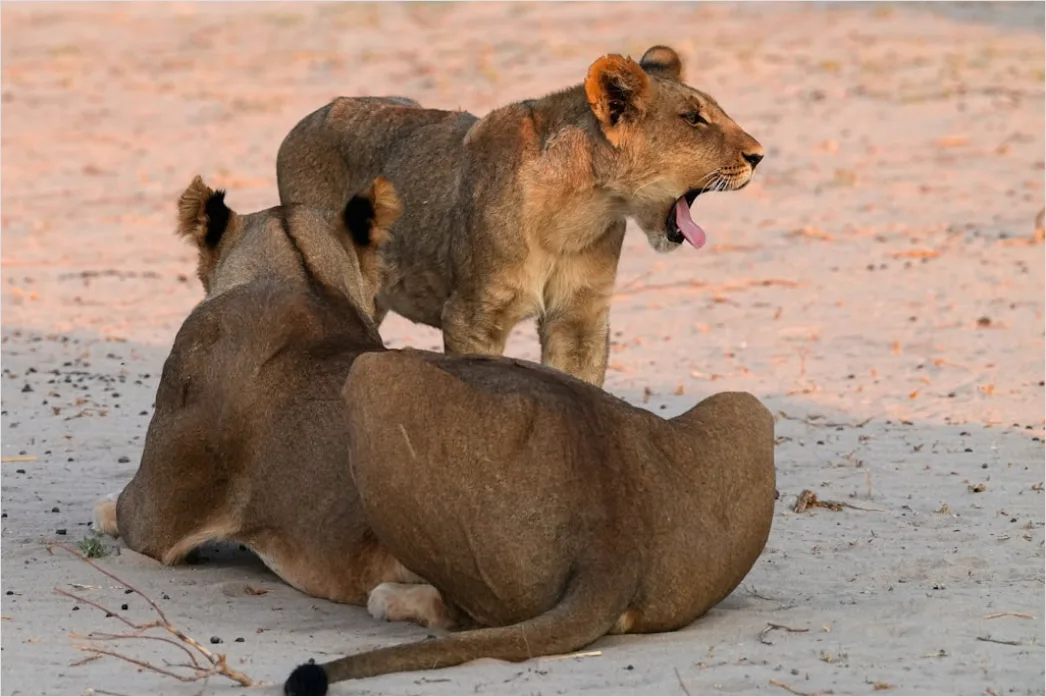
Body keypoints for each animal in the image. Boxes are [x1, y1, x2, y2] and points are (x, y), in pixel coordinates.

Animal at [276, 45, 764, 387]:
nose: (759, 155)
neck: (578, 213)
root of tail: (306, 120)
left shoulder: (580, 318)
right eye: (693, 119)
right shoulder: (473, 317)